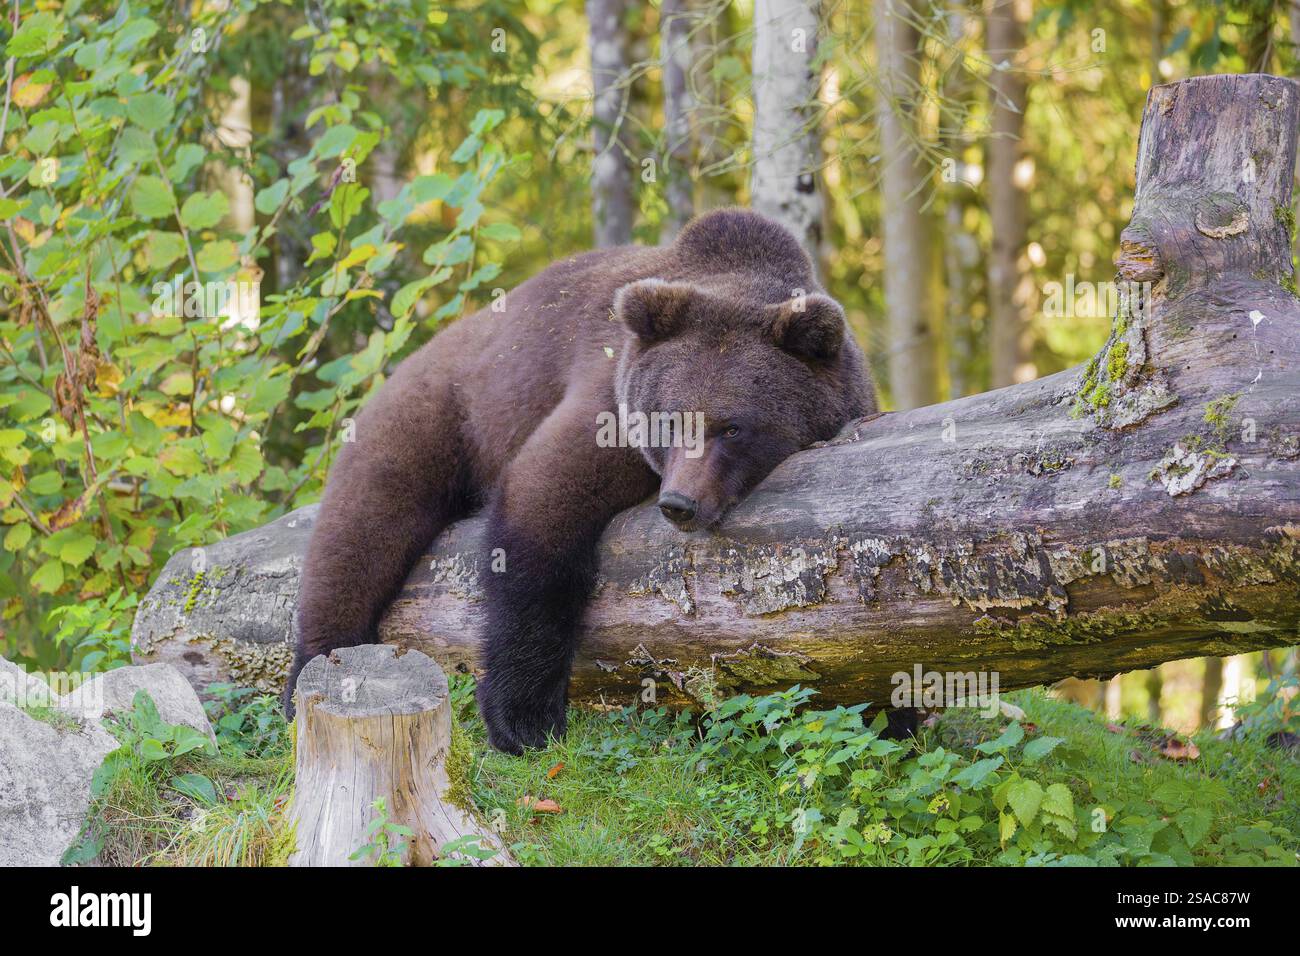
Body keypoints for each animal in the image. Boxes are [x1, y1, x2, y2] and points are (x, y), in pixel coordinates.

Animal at [283, 208, 907, 754]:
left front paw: (888, 716)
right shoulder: (608, 405)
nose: (680, 503)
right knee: (362, 526)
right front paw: (523, 717)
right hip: (438, 414)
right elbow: (542, 510)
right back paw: (315, 670)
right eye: (671, 419)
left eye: (732, 426)